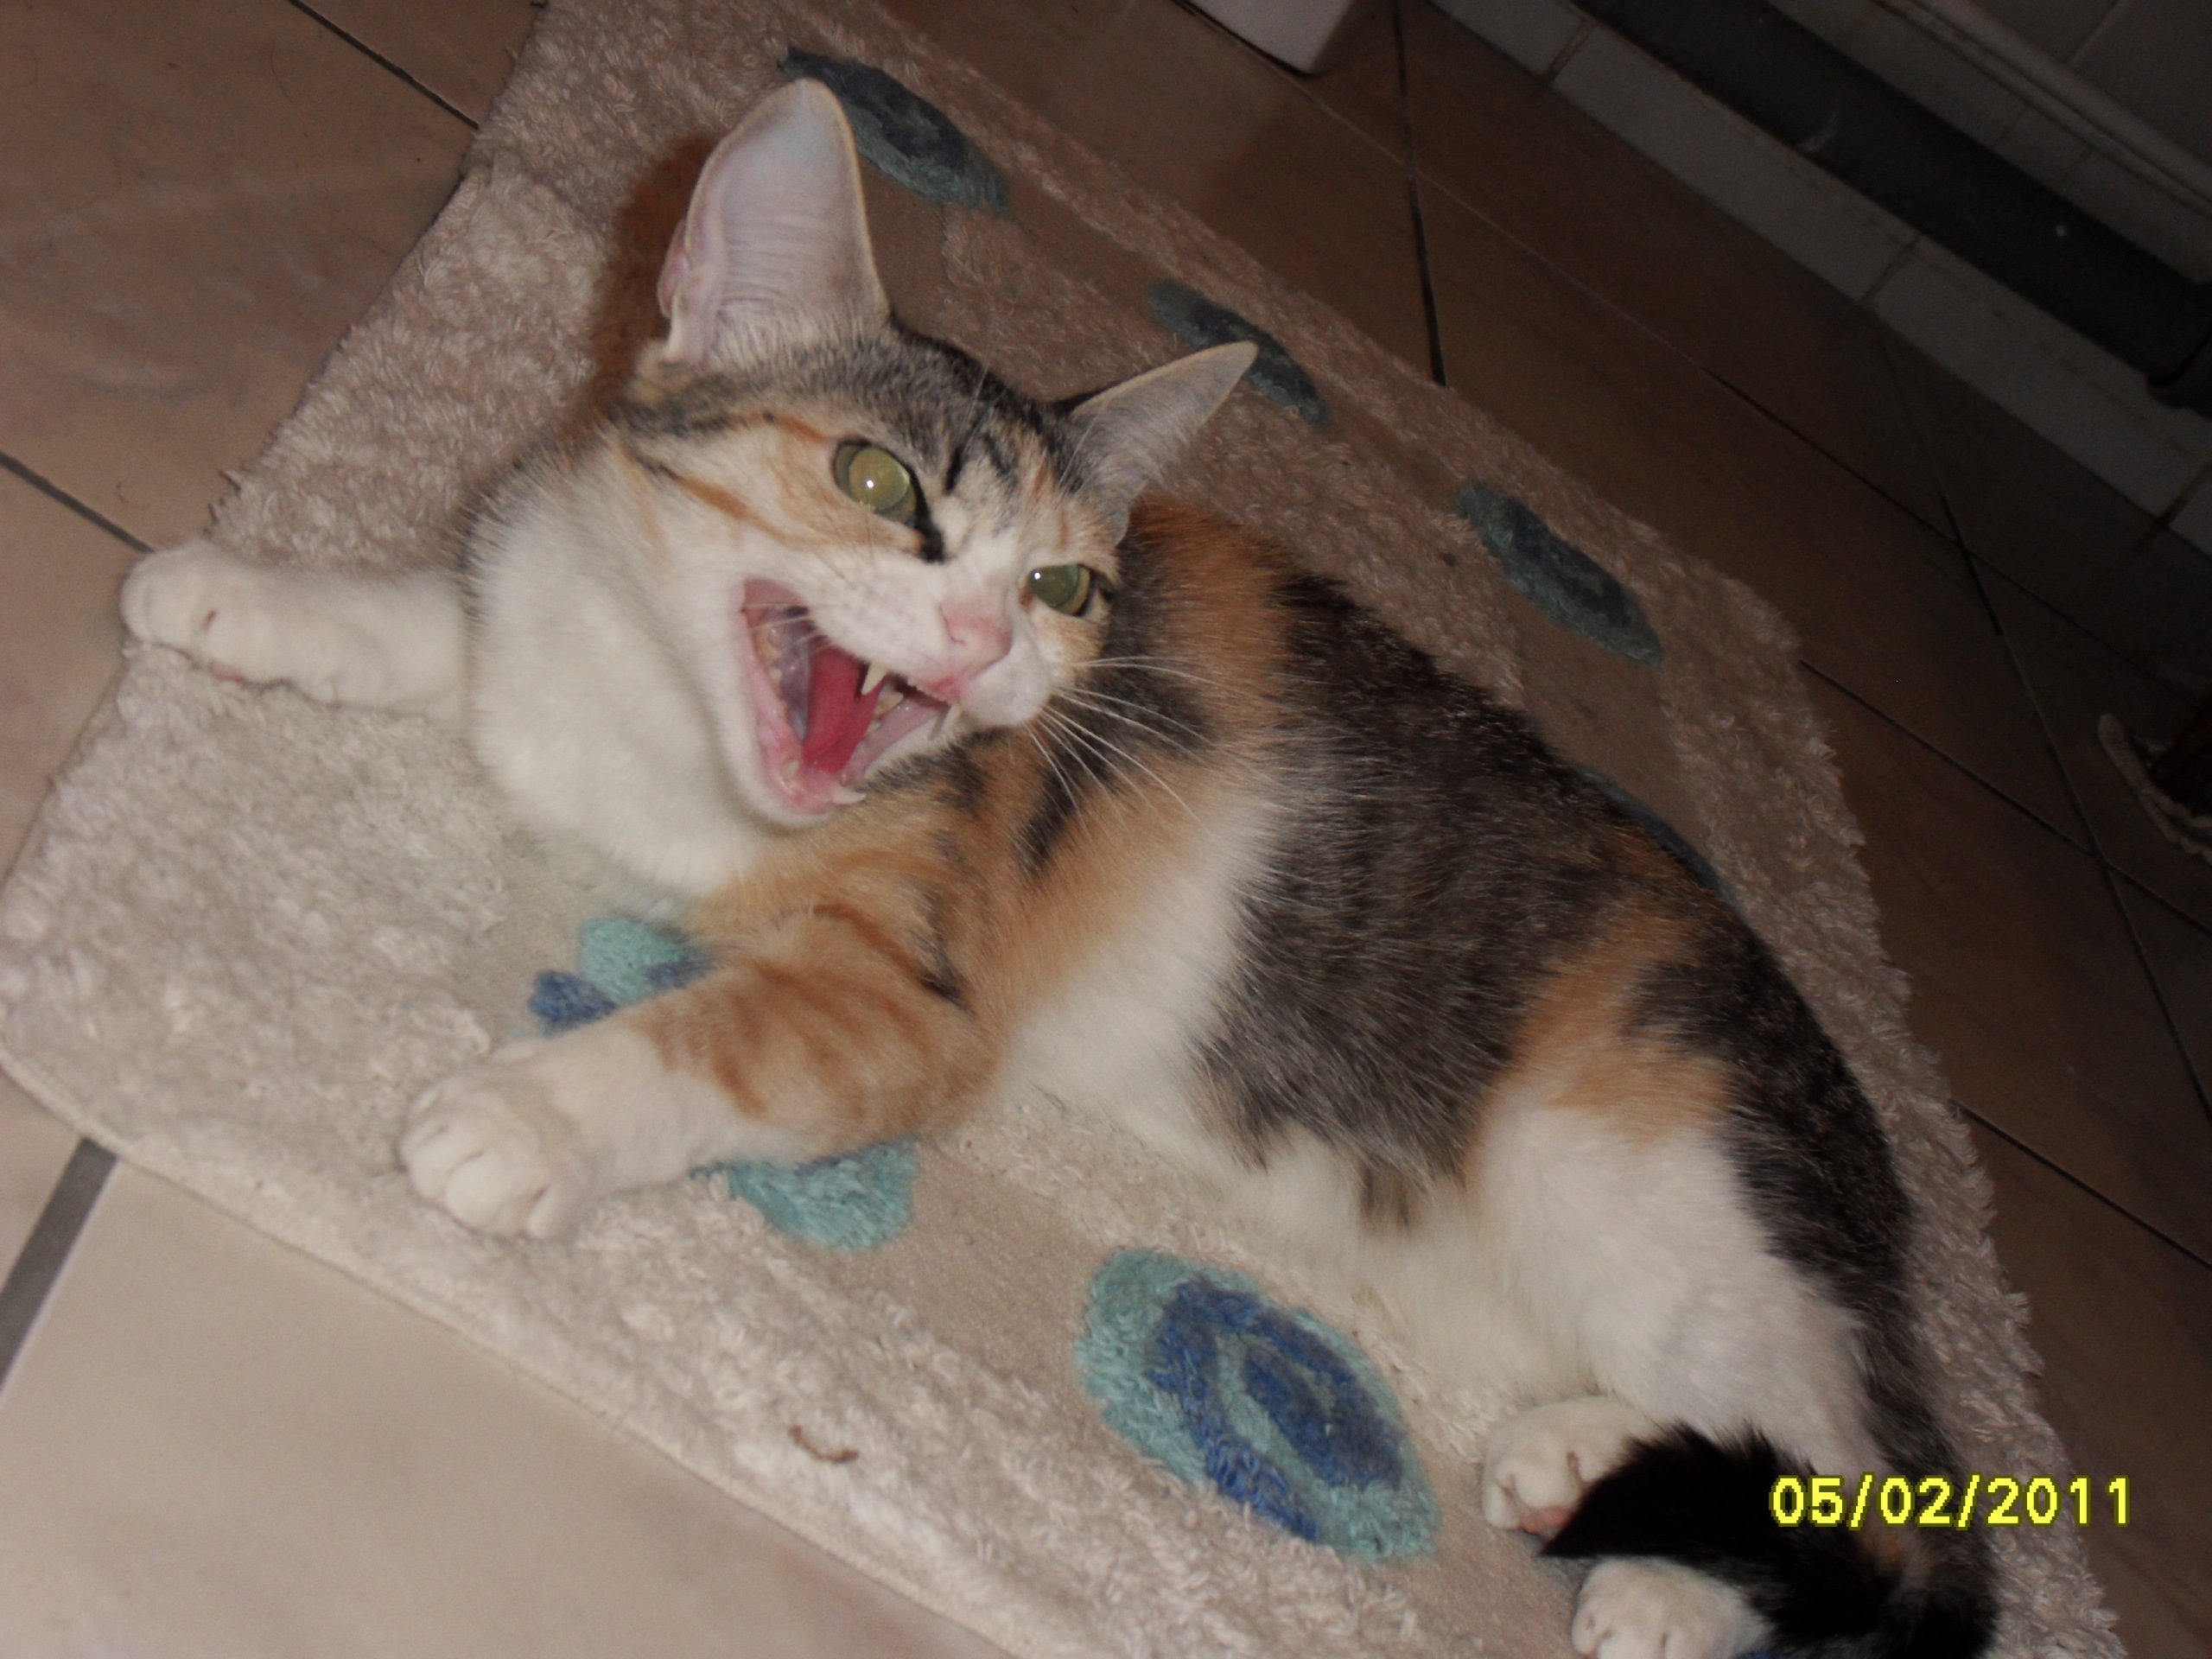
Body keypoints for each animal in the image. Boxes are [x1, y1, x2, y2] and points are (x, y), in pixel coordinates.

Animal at [120, 80, 1992, 1659]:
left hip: (1633, 1178)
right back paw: (1580, 1463)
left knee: (1894, 1516)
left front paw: (527, 1117)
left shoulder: (915, 996)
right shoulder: (537, 642)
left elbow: (710, 1040)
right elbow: (438, 631)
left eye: (1067, 590)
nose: (976, 642)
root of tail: (1860, 1156)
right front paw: (247, 594)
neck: (665, 737)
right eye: (874, 480)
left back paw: (1670, 1589)